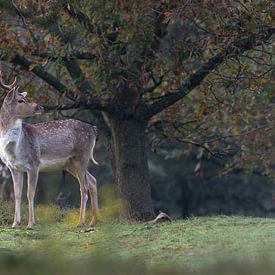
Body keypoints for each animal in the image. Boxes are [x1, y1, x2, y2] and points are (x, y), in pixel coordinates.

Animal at [0, 72, 98, 230]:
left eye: (25, 98)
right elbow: (17, 194)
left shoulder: (34, 163)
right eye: (21, 100)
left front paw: (30, 224)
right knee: (92, 181)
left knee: (83, 187)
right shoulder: (13, 168)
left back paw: (81, 221)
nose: (40, 107)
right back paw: (93, 221)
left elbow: (30, 194)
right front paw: (15, 223)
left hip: (82, 156)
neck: (15, 148)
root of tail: (93, 129)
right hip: (70, 163)